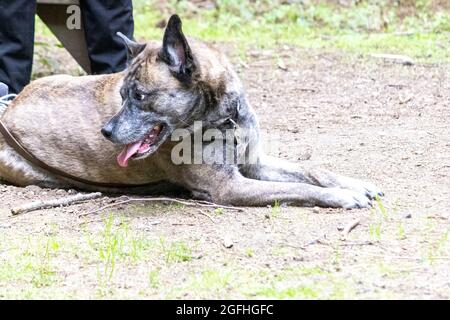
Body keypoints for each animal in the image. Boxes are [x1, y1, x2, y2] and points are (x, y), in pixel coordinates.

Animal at [0, 15, 384, 209]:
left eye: (138, 96)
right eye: (122, 95)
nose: (105, 132)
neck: (222, 116)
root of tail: (8, 111)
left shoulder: (254, 163)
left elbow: (312, 170)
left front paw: (354, 184)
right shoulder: (229, 186)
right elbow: (300, 188)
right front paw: (341, 196)